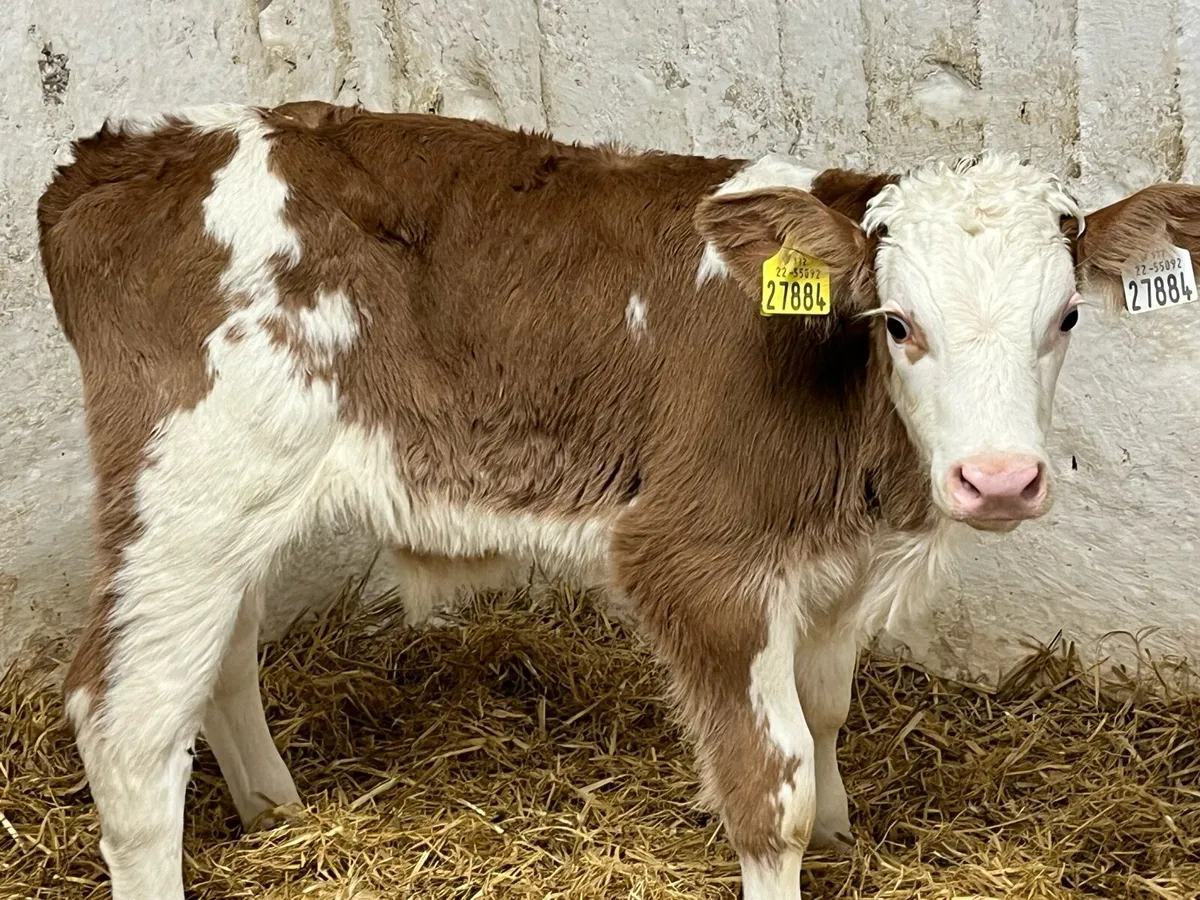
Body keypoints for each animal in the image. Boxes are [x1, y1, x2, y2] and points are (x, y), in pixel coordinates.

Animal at [36, 99, 1200, 900]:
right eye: (899, 322)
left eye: (1067, 318)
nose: (998, 479)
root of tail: (118, 157)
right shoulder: (697, 557)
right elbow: (769, 783)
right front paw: (798, 839)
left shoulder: (838, 566)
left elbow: (823, 712)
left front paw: (843, 833)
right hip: (191, 484)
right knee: (126, 719)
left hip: (228, 506)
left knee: (217, 662)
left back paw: (276, 811)